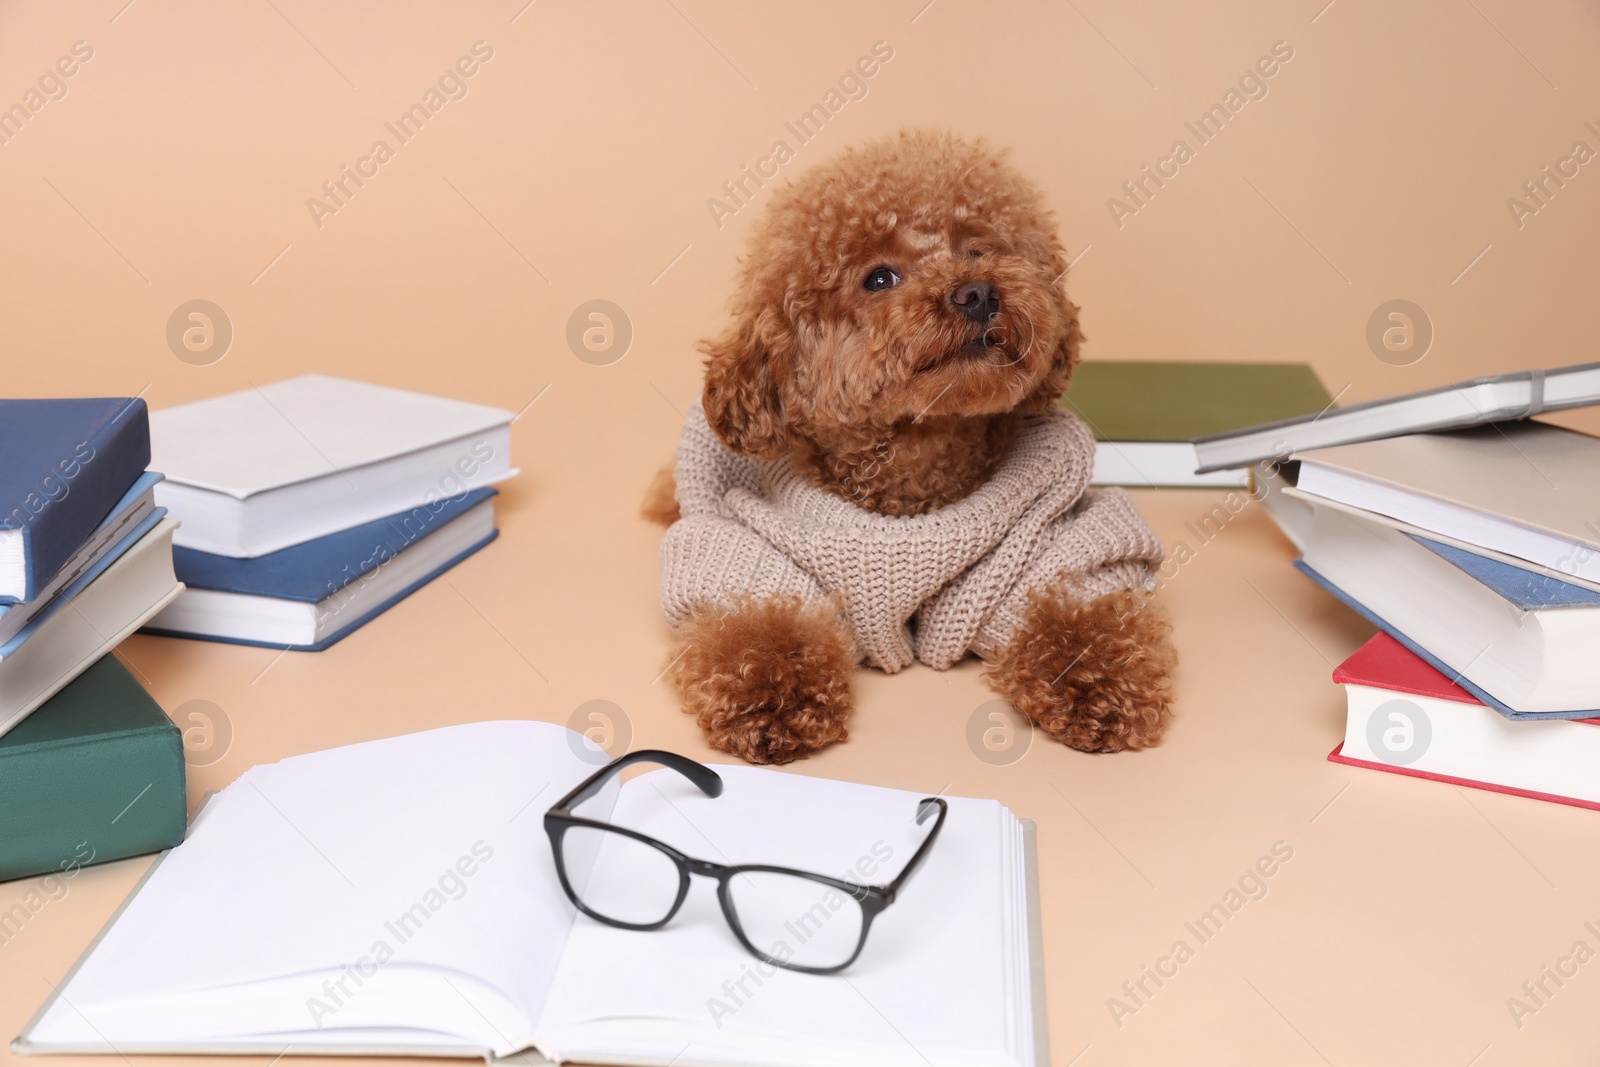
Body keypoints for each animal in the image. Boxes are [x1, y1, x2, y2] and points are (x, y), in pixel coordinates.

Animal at [643, 131, 1184, 767]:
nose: (977, 292)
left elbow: (1081, 608)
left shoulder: (1053, 544)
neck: (915, 465)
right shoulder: (743, 549)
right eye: (879, 278)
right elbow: (758, 624)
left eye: (977, 250)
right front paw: (771, 698)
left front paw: (1100, 685)